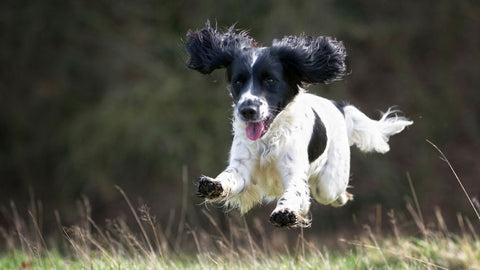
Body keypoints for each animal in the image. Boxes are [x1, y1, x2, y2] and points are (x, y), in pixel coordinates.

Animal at [184, 21, 412, 228]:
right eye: (238, 81)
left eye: (270, 80)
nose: (248, 110)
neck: (268, 139)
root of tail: (338, 106)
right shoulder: (243, 167)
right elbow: (230, 176)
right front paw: (213, 185)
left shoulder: (294, 172)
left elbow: (293, 192)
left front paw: (285, 213)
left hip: (328, 185)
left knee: (335, 193)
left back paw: (342, 197)